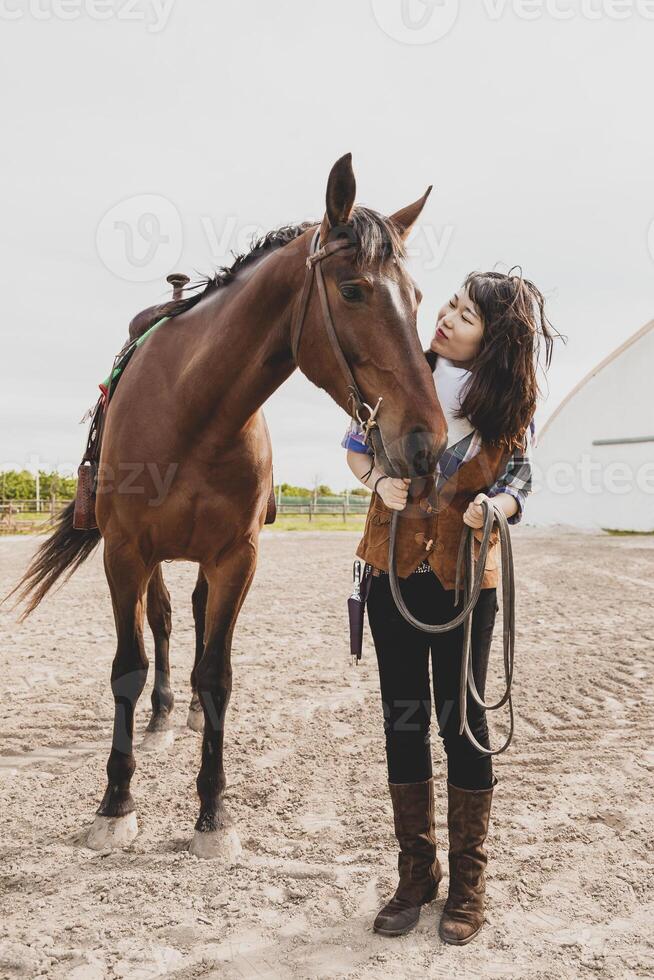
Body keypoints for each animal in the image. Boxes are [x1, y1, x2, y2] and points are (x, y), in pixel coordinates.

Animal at [11, 151, 452, 856]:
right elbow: (130, 666)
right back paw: (162, 713)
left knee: (190, 620)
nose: (425, 441)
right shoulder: (125, 553)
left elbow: (218, 674)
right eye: (353, 290)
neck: (194, 410)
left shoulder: (236, 558)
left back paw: (186, 710)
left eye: (414, 299)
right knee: (163, 621)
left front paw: (213, 812)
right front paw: (115, 804)